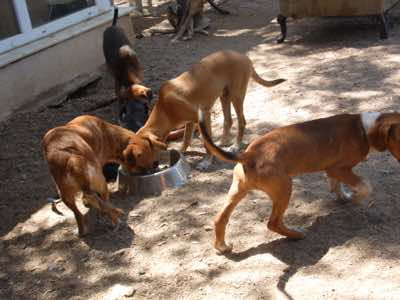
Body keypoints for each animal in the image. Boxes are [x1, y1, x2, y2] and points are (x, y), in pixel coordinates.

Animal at [137, 49, 284, 168]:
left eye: (139, 155)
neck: (165, 107)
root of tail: (244, 56)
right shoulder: (190, 122)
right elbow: (187, 138)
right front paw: (181, 150)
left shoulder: (203, 115)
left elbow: (206, 143)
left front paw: (206, 162)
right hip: (225, 96)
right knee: (228, 120)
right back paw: (221, 143)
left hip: (236, 96)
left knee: (241, 122)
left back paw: (235, 146)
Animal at [198, 110, 400, 253]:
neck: (363, 129)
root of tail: (248, 154)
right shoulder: (338, 168)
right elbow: (365, 186)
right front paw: (355, 199)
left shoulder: (333, 170)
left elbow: (336, 184)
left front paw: (342, 197)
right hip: (285, 188)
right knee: (273, 223)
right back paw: (296, 235)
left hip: (237, 191)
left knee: (220, 219)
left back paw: (222, 247)